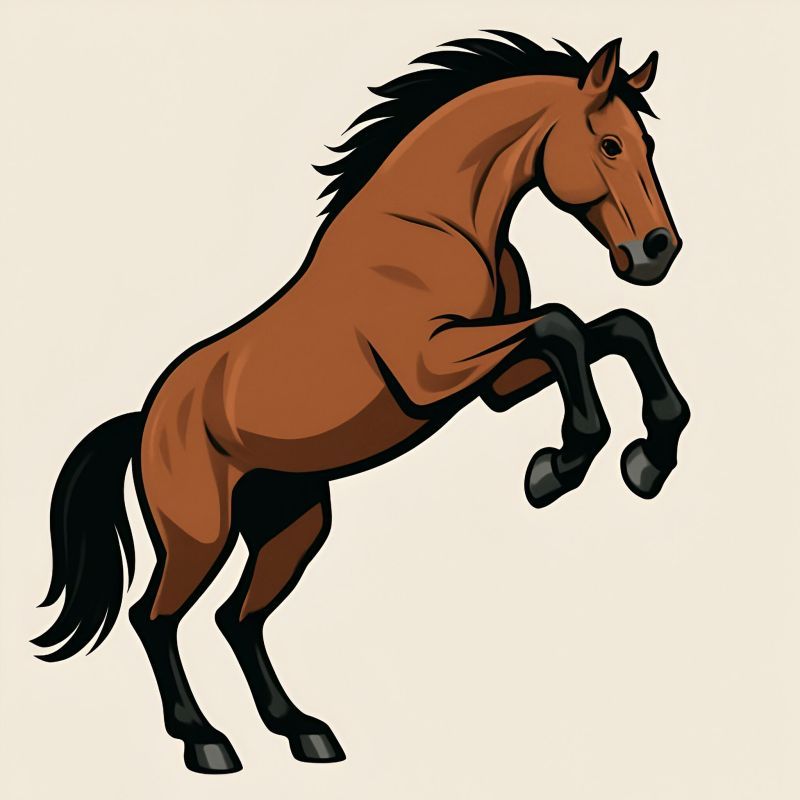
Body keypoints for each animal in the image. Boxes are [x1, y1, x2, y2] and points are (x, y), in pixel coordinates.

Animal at [34, 32, 690, 774]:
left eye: (647, 144)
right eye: (609, 144)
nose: (656, 251)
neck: (440, 224)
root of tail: (144, 420)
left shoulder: (494, 383)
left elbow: (615, 328)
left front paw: (646, 459)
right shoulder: (432, 368)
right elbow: (563, 325)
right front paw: (560, 465)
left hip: (292, 524)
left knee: (238, 619)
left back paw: (303, 731)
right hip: (198, 536)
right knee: (155, 618)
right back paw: (205, 742)